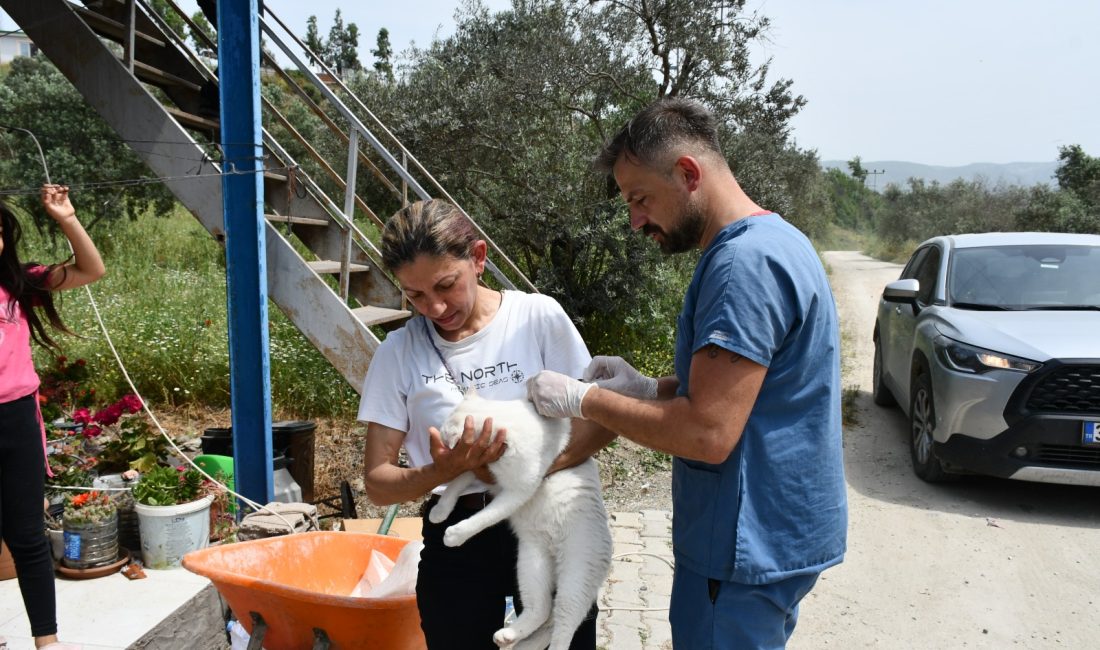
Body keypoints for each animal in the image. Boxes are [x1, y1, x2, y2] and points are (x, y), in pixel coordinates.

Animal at [426, 389, 616, 646]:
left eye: (445, 432)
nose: (441, 440)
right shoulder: (484, 472)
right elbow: (456, 484)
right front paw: (440, 511)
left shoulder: (519, 491)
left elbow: (486, 516)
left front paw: (456, 534)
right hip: (531, 564)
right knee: (543, 612)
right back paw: (510, 638)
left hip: (574, 580)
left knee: (563, 625)